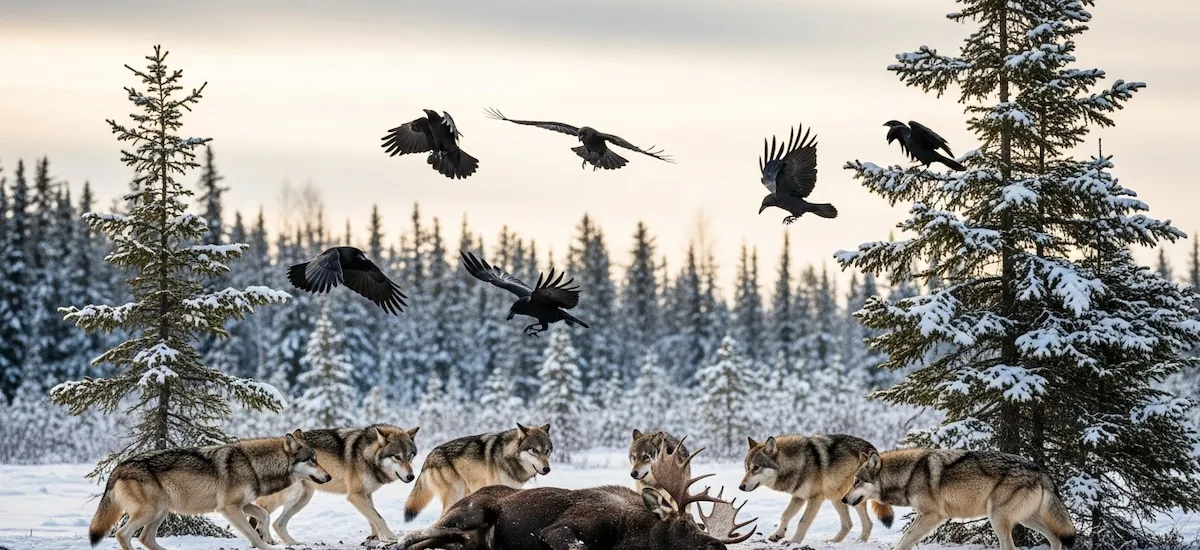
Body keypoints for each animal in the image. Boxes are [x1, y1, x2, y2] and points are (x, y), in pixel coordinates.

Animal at [88, 429, 331, 550]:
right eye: (312, 460)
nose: (328, 477)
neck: (253, 464)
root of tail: (119, 467)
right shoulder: (228, 508)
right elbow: (252, 532)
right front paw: (266, 545)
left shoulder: (243, 504)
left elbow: (263, 515)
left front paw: (268, 536)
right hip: (151, 511)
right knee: (123, 534)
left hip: (162, 511)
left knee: (145, 539)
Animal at [254, 424, 419, 544]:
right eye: (397, 457)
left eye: (410, 457)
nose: (411, 477)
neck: (366, 455)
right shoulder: (355, 495)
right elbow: (378, 517)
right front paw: (392, 537)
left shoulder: (366, 494)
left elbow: (372, 518)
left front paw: (375, 538)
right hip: (286, 497)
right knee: (263, 516)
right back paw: (267, 540)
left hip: (303, 498)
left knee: (277, 523)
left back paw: (293, 544)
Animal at [404, 423, 553, 521]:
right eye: (534, 450)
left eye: (547, 451)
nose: (547, 469)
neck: (507, 454)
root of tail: (428, 458)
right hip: (456, 493)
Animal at [740, 434, 895, 545]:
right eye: (746, 468)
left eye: (756, 467)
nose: (740, 487)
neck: (800, 463)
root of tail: (873, 449)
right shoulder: (799, 496)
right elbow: (785, 515)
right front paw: (777, 534)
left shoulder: (815, 498)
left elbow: (802, 522)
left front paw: (794, 542)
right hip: (838, 498)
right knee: (848, 524)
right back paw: (833, 542)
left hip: (854, 499)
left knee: (868, 523)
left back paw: (859, 543)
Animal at [841, 449, 1077, 550]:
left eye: (857, 481)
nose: (843, 499)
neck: (908, 474)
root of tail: (1040, 470)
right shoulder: (923, 515)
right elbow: (906, 538)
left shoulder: (934, 516)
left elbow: (905, 540)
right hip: (1025, 519)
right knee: (1056, 538)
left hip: (998, 519)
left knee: (1012, 547)